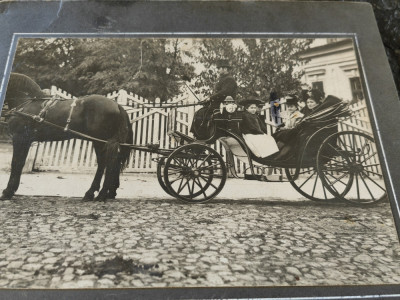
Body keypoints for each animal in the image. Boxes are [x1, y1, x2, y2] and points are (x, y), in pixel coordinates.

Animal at [0, 73, 134, 202]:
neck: (27, 102)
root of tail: (117, 105)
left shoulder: (20, 138)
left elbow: (16, 163)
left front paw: (8, 192)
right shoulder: (25, 141)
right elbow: (19, 163)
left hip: (100, 141)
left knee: (105, 163)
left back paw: (97, 194)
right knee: (111, 163)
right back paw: (107, 192)